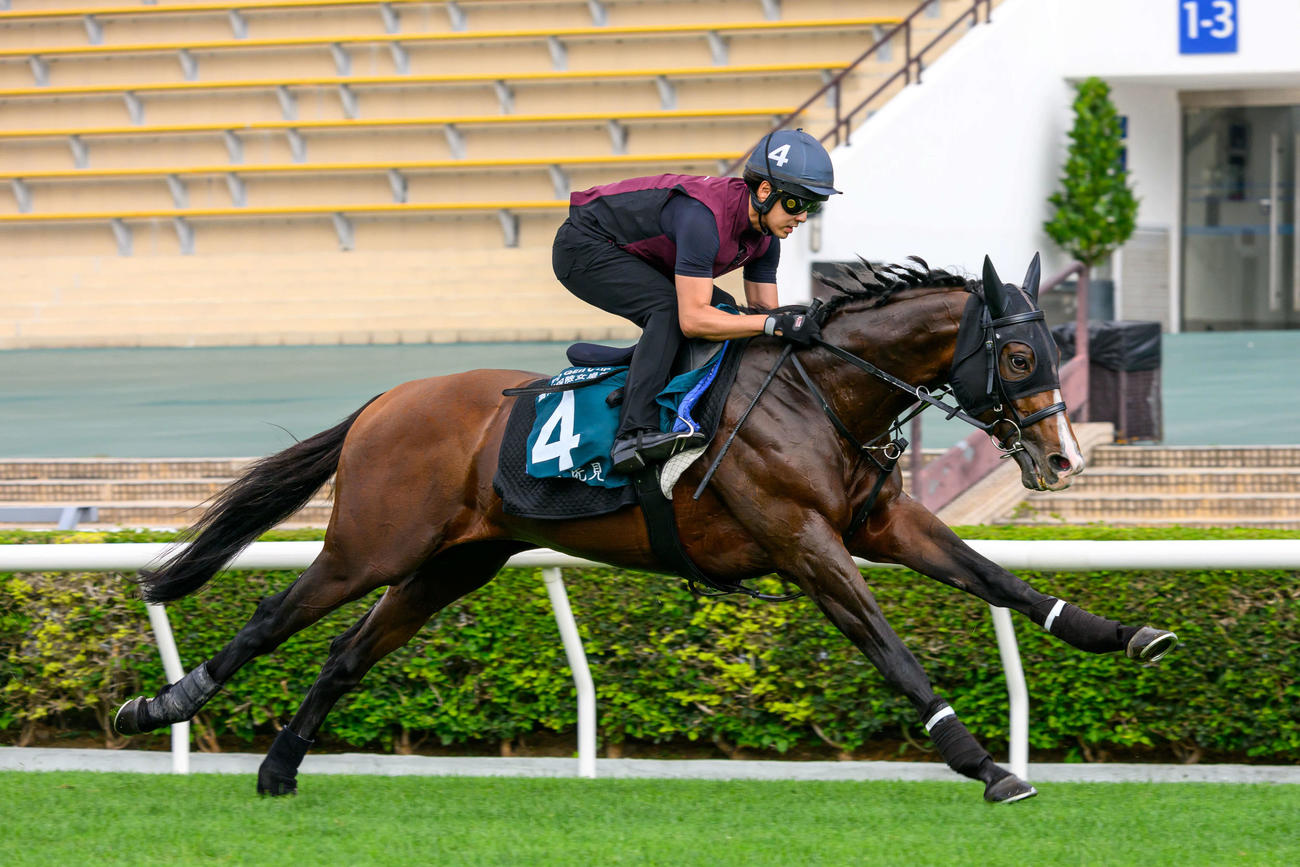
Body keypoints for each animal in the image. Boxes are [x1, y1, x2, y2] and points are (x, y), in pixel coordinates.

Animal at [113, 254, 1176, 803]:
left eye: (1055, 344)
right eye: (1017, 353)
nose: (1063, 459)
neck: (823, 391)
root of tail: (385, 398)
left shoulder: (883, 522)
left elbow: (1001, 582)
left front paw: (1123, 633)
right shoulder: (805, 542)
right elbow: (890, 649)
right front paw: (984, 763)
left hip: (456, 562)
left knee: (344, 652)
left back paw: (279, 766)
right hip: (372, 544)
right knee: (272, 620)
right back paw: (158, 707)